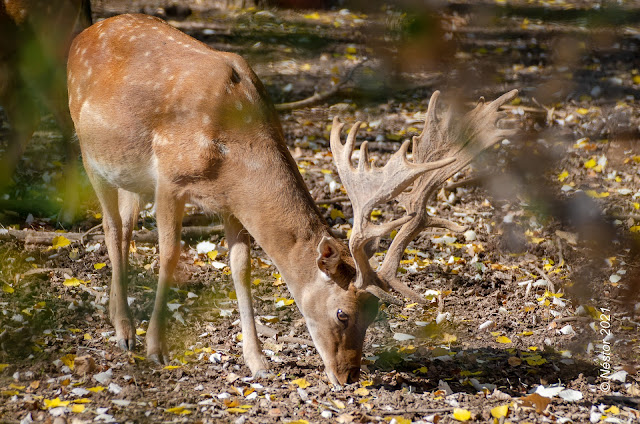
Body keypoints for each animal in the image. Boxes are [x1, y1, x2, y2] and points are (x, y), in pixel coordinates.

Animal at [66, 12, 516, 384]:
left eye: (375, 313)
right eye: (342, 313)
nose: (349, 375)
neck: (231, 150)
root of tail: (81, 35)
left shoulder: (230, 202)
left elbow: (241, 267)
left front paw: (258, 361)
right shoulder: (170, 182)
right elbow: (170, 256)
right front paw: (156, 349)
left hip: (129, 176)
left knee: (125, 225)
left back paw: (119, 319)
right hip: (89, 153)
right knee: (110, 226)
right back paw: (125, 330)